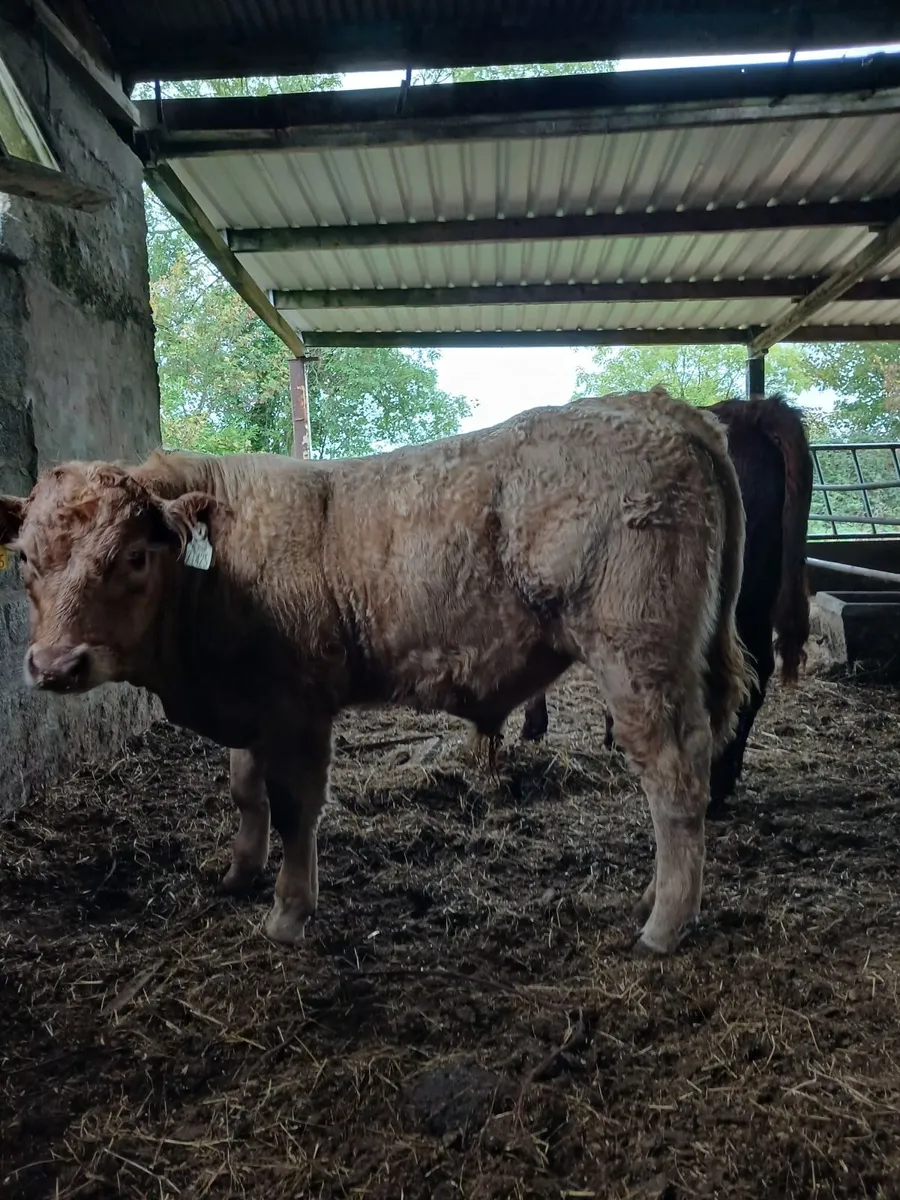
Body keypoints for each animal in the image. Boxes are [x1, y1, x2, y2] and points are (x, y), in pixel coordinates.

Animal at [0, 388, 752, 956]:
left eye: (132, 557)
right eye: (25, 558)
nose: (54, 664)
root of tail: (656, 407)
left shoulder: (300, 708)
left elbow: (294, 807)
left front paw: (288, 913)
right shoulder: (252, 703)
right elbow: (245, 792)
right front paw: (238, 873)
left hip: (638, 657)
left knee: (673, 776)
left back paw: (662, 924)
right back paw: (656, 897)